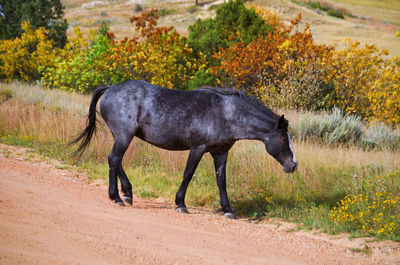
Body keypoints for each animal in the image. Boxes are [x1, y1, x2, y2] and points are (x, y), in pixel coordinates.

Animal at [72, 79, 296, 218]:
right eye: (284, 139)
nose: (293, 165)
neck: (226, 113)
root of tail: (110, 88)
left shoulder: (220, 152)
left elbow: (221, 180)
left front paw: (228, 210)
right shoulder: (197, 148)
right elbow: (188, 174)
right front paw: (181, 204)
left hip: (121, 136)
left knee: (116, 161)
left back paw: (126, 193)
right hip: (124, 136)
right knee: (113, 159)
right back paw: (117, 197)